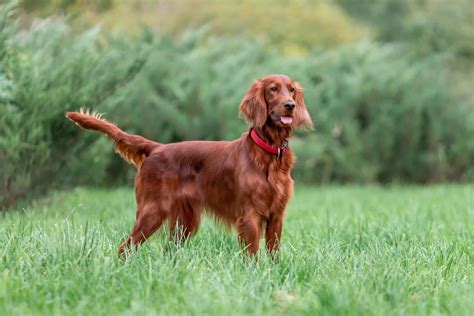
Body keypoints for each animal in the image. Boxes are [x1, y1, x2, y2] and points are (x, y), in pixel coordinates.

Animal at [65, 74, 312, 256]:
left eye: (291, 90)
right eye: (273, 89)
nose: (290, 105)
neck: (269, 152)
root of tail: (157, 148)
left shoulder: (276, 215)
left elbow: (274, 253)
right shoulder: (249, 215)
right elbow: (252, 253)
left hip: (184, 222)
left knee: (167, 250)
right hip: (152, 211)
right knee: (125, 248)